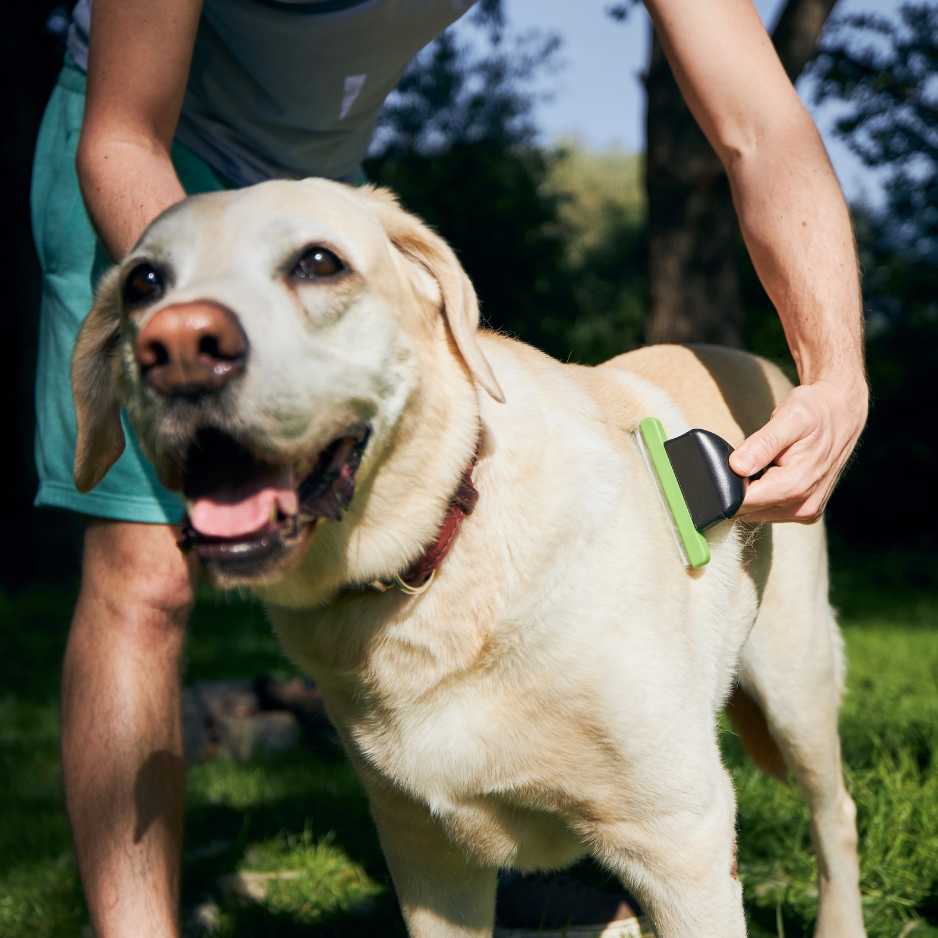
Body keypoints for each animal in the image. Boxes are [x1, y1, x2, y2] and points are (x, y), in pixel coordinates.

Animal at [73, 177, 864, 936]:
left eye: (320, 262)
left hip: (795, 689)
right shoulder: (427, 857)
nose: (177, 347)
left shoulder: (682, 838)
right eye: (144, 283)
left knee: (838, 814)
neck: (431, 569)